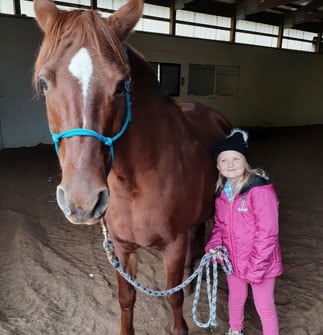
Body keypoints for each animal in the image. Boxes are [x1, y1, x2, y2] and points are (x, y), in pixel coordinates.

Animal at [33, 0, 233, 334]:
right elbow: (126, 298)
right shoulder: (120, 248)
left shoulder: (174, 246)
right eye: (45, 83)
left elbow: (174, 297)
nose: (82, 201)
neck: (135, 184)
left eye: (120, 85)